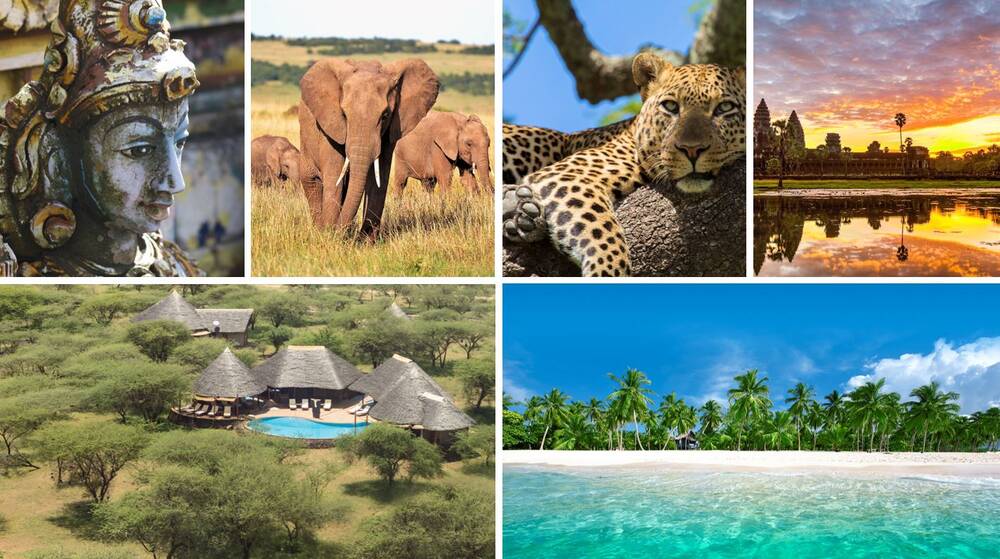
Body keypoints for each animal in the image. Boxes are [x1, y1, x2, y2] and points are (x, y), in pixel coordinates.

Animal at [501, 52, 746, 277]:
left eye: (724, 108)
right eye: (670, 106)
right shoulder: (570, 175)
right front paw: (605, 272)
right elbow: (602, 230)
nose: (692, 149)